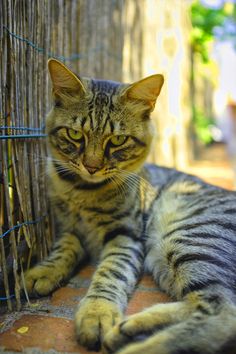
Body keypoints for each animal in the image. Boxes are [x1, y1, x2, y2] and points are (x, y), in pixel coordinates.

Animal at [24, 59, 236, 352]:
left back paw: (137, 344)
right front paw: (43, 271)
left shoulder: (126, 236)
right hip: (166, 258)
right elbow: (62, 250)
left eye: (117, 140)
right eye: (75, 134)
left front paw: (96, 313)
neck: (83, 190)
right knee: (201, 302)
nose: (91, 167)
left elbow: (109, 273)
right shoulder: (68, 228)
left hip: (190, 238)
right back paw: (128, 329)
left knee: (222, 312)